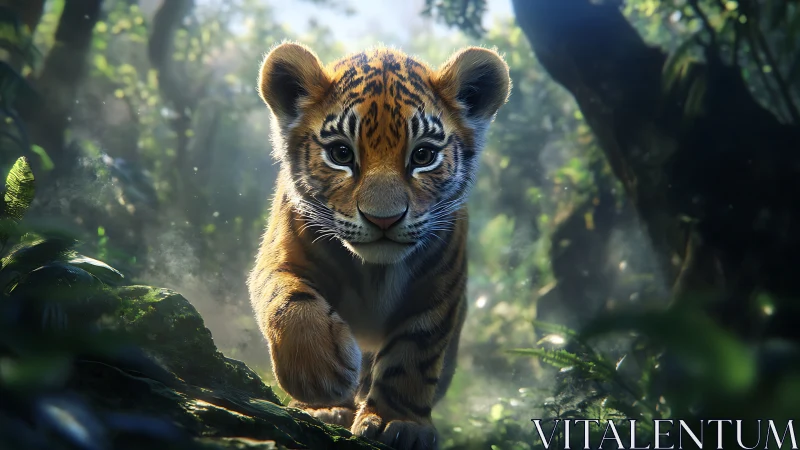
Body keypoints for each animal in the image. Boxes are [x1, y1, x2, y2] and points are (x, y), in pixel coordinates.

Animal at [247, 41, 510, 449]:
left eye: (423, 156)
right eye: (341, 154)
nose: (384, 219)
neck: (374, 271)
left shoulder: (437, 291)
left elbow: (412, 356)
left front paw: (397, 423)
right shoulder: (282, 258)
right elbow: (290, 302)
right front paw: (319, 379)